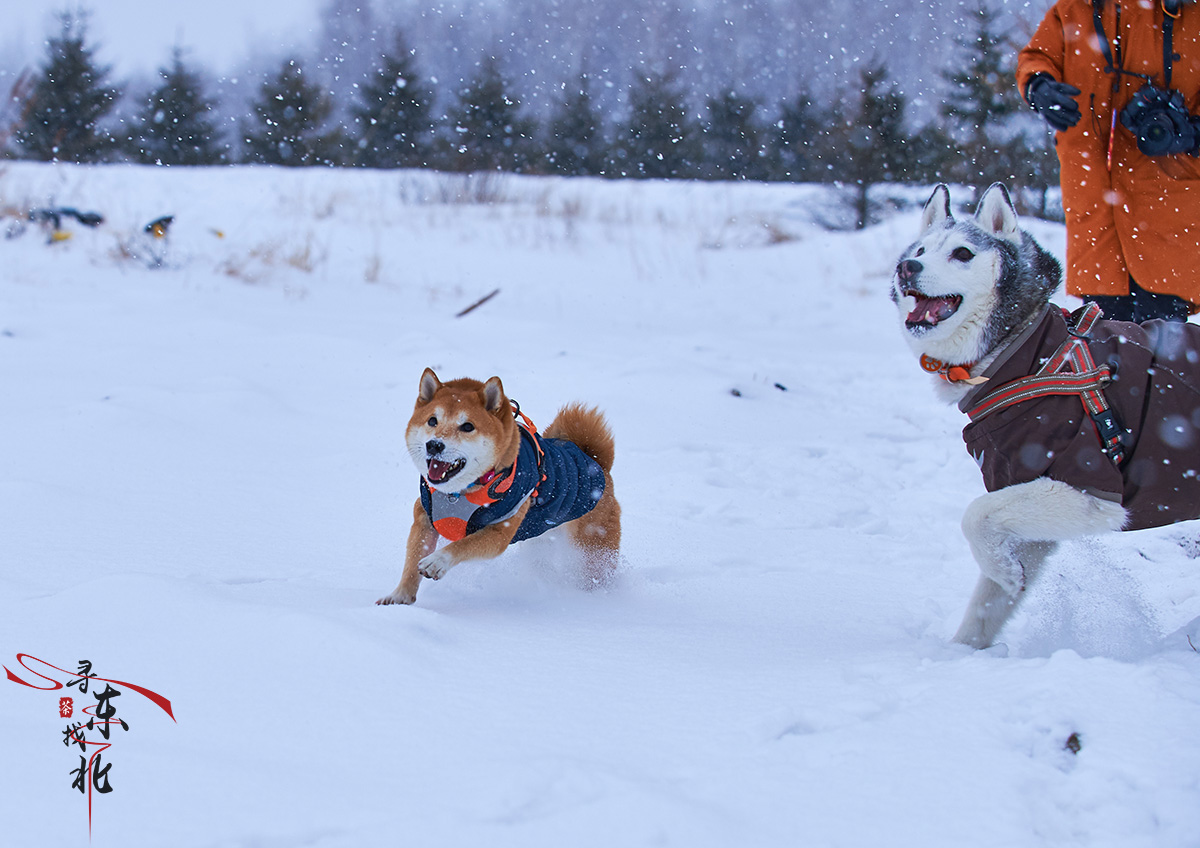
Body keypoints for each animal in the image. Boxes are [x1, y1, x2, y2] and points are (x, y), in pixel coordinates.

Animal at [376, 367, 624, 606]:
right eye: (432, 421)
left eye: (467, 426)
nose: (434, 445)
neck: (459, 493)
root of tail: (596, 462)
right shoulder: (424, 516)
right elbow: (412, 560)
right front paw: (400, 597)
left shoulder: (499, 531)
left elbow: (462, 545)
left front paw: (437, 561)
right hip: (541, 542)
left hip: (592, 547)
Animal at [897, 183, 1200, 652]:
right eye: (921, 250)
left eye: (963, 253)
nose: (906, 267)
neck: (1027, 354)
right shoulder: (1025, 489)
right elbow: (987, 602)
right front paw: (964, 651)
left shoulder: (1087, 488)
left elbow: (974, 515)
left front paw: (1004, 573)